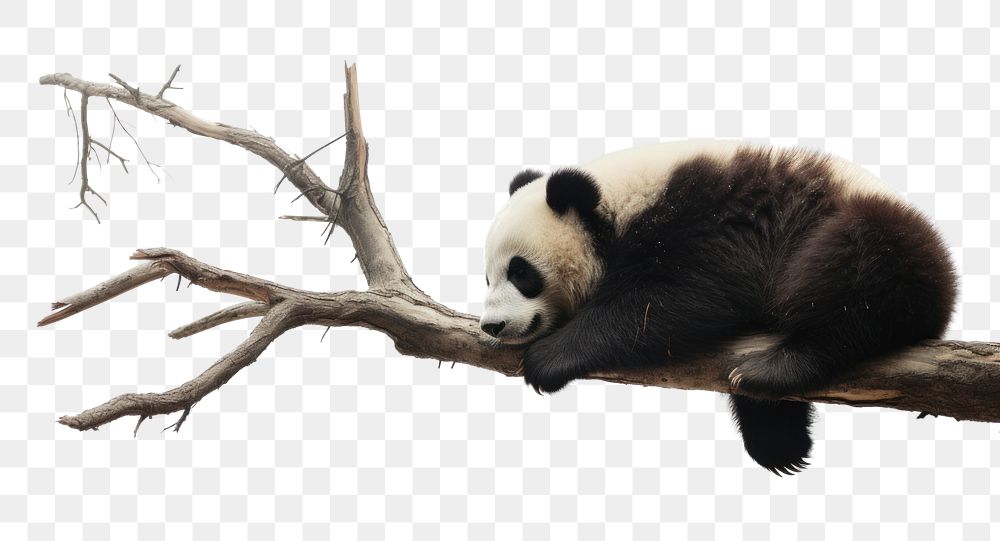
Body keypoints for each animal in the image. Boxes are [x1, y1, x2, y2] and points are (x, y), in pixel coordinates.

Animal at [480, 140, 957, 475]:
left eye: (521, 272)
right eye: (488, 277)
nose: (491, 326)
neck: (619, 201)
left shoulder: (707, 217)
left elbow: (675, 298)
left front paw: (550, 358)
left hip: (872, 232)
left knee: (855, 279)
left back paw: (776, 369)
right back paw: (777, 439)